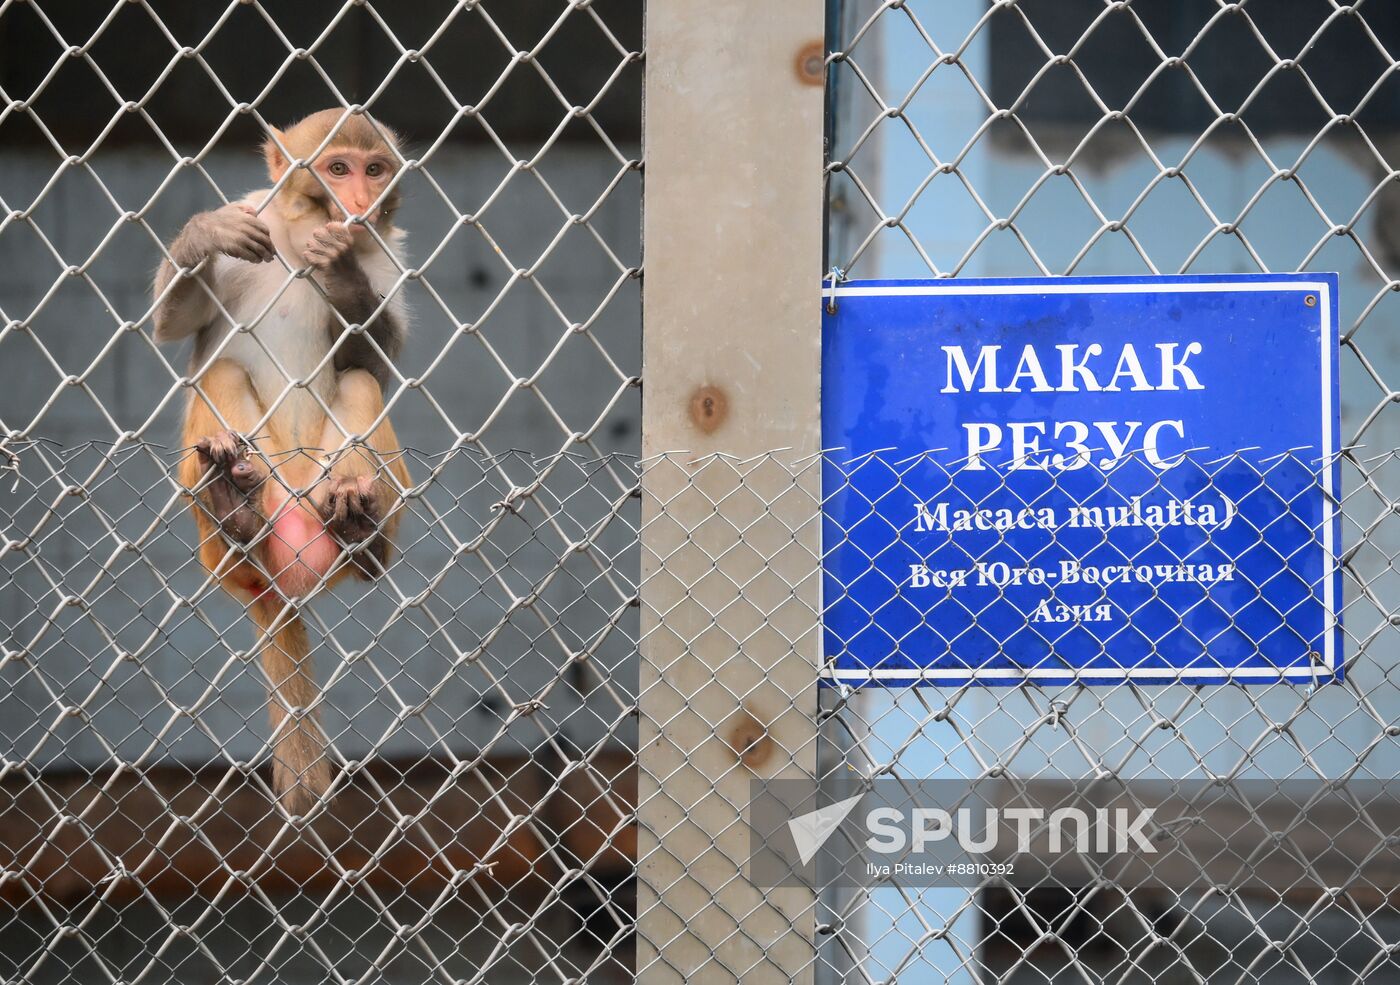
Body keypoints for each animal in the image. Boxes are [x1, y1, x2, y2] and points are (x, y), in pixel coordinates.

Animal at [157, 109, 414, 817]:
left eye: (373, 168)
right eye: (337, 167)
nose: (359, 201)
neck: (298, 240)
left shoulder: (386, 259)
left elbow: (375, 361)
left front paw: (342, 274)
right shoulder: (253, 223)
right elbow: (173, 323)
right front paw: (204, 234)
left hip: (320, 481)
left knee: (361, 384)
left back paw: (358, 528)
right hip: (233, 502)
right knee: (220, 371)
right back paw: (236, 511)